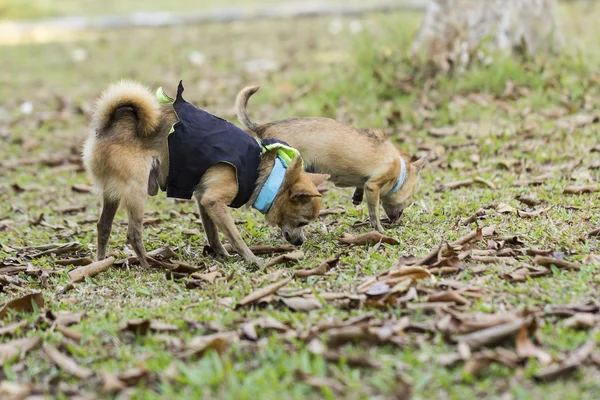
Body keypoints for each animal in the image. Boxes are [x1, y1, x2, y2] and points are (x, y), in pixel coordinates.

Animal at [83, 81, 328, 268]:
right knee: (133, 233)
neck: (265, 173)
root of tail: (107, 127)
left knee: (103, 226)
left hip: (113, 193)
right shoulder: (214, 201)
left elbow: (213, 234)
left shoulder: (204, 199)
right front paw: (252, 259)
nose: (300, 243)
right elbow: (235, 236)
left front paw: (223, 255)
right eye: (303, 222)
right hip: (136, 191)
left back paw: (101, 263)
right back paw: (148, 266)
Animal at [236, 86, 426, 231]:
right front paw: (379, 229)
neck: (401, 170)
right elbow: (374, 211)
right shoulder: (374, 185)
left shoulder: (367, 182)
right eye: (409, 202)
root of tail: (264, 127)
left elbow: (361, 185)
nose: (398, 218)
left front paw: (357, 196)